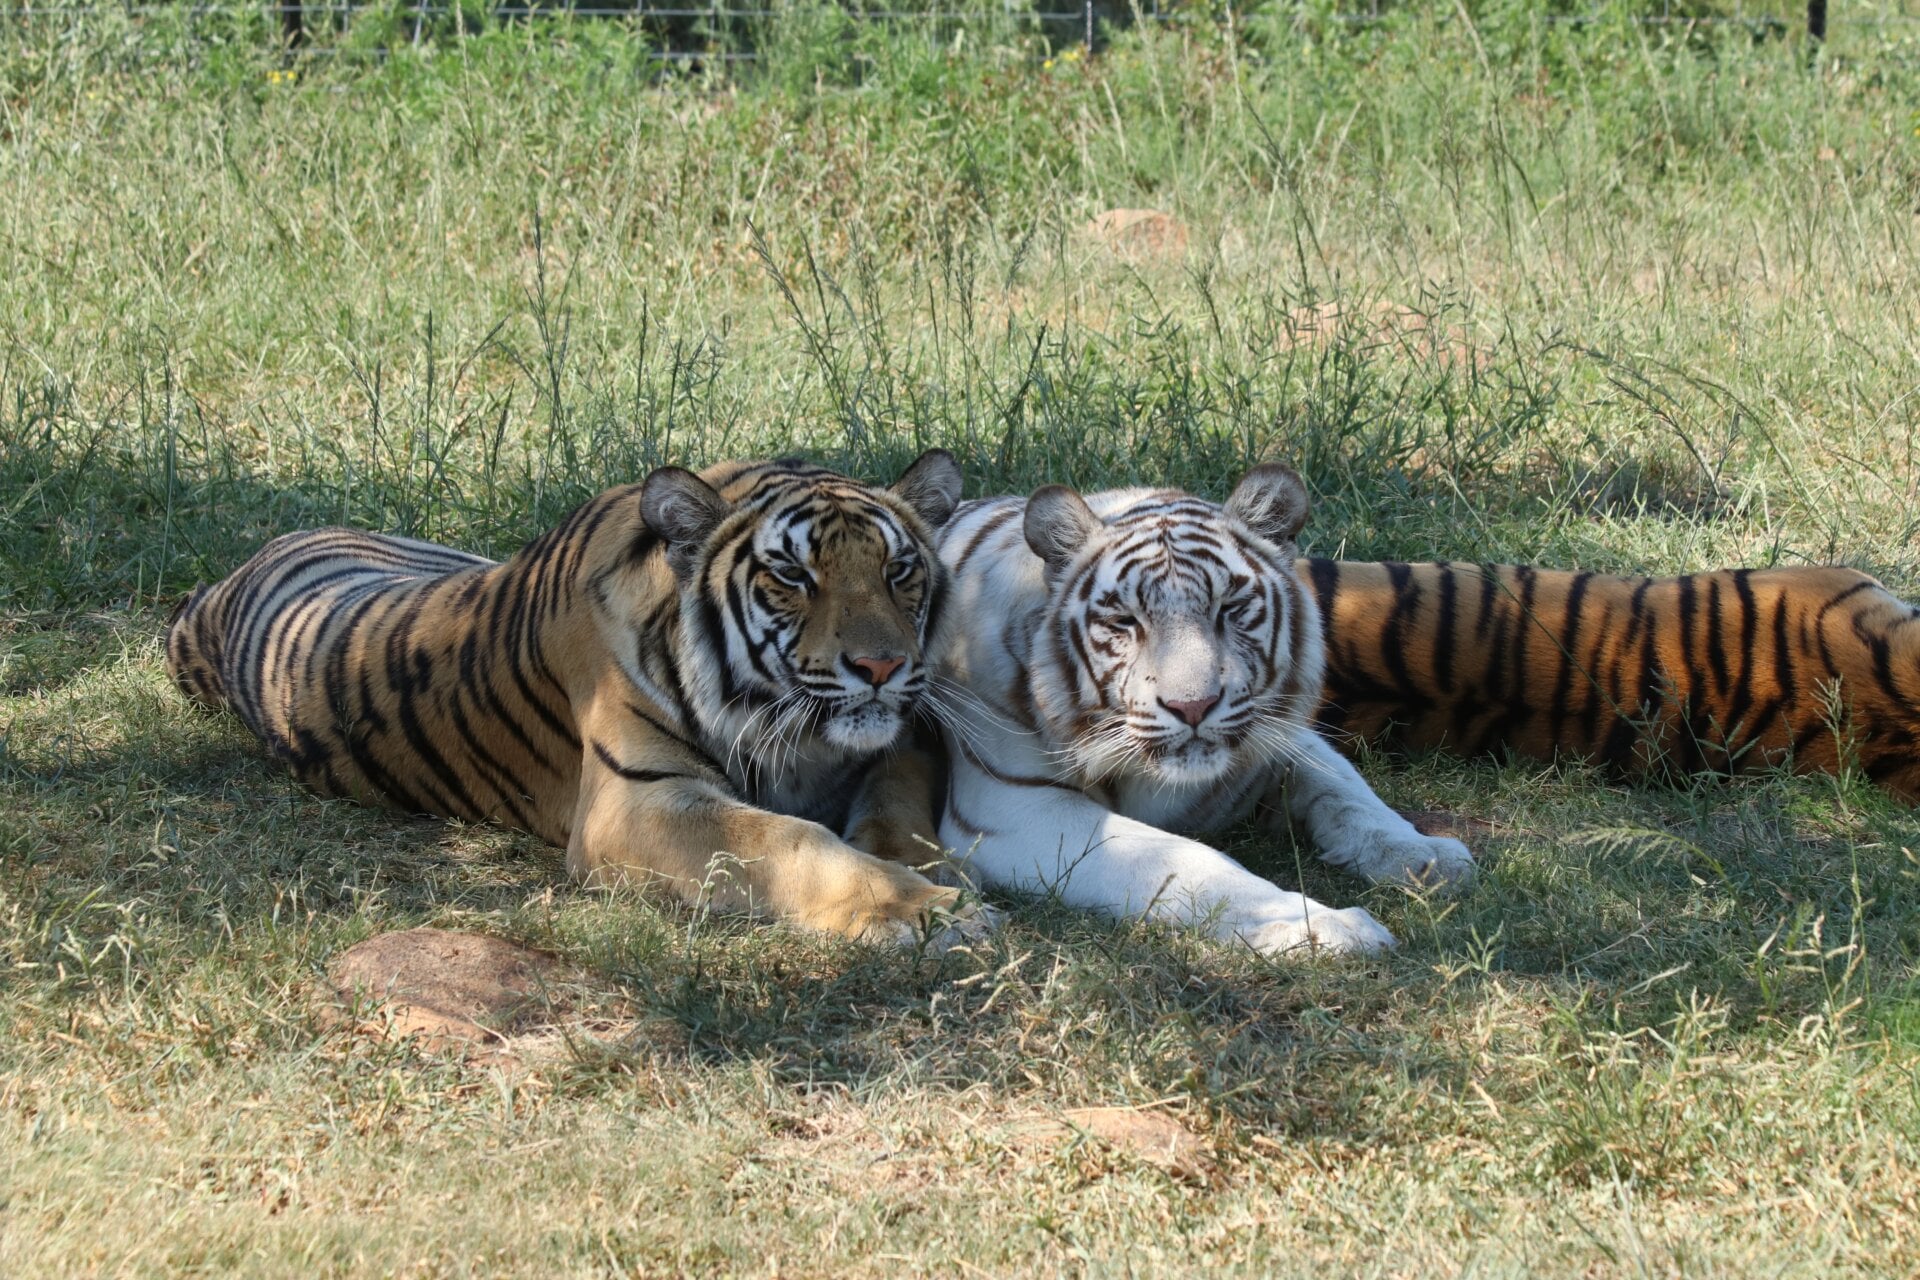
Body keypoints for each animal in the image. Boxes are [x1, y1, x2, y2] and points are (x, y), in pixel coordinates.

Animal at [165, 451, 995, 949]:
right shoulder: (636, 804)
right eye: (793, 575)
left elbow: (893, 808)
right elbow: (791, 840)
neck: (799, 737)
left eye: (898, 570)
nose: (882, 665)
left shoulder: (897, 739)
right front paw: (927, 910)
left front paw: (932, 872)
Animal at [918, 465, 1476, 957]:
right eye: (1124, 620)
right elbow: (1190, 860)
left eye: (1229, 608)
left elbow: (1348, 792)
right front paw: (1323, 927)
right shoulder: (1016, 807)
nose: (1194, 706)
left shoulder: (1281, 736)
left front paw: (1426, 855)